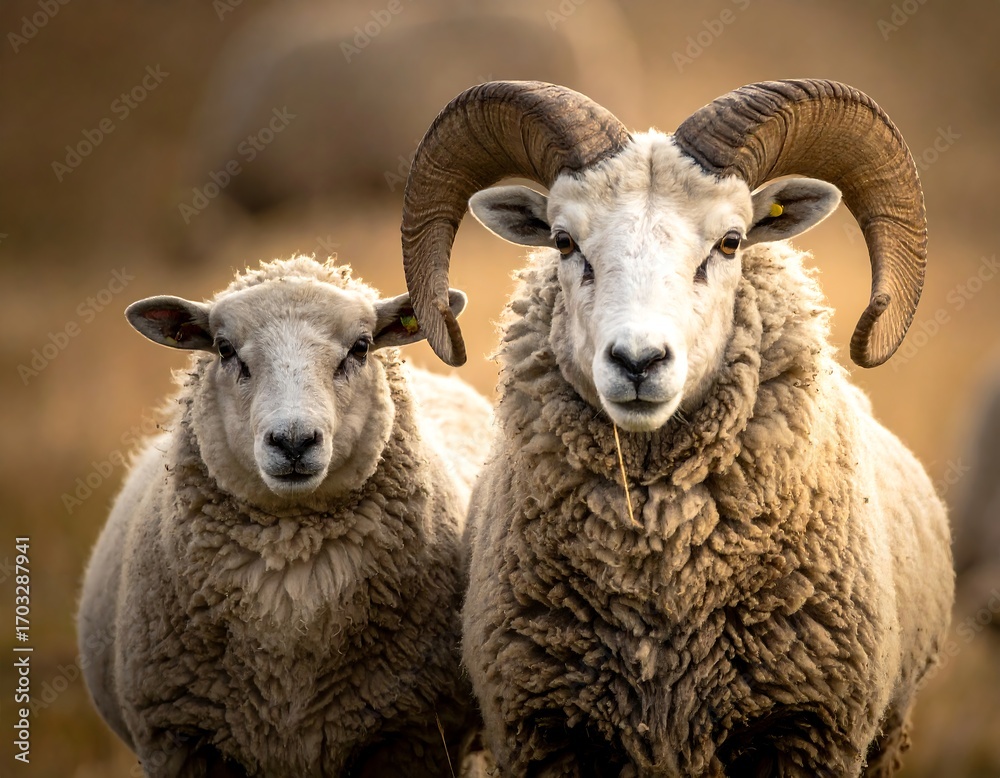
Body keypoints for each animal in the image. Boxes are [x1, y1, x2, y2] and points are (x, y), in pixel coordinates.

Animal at [76, 255, 493, 777]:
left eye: (361, 347)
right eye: (224, 348)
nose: (293, 441)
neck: (292, 574)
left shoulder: (411, 737)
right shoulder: (180, 740)